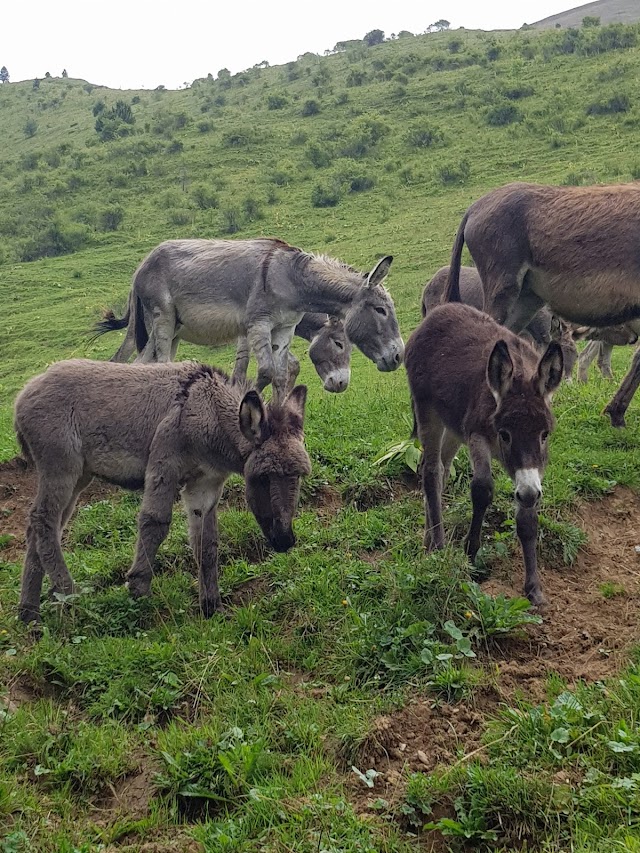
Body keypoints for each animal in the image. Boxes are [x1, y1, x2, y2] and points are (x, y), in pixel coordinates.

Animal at [15, 356, 312, 624]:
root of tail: (25, 392)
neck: (206, 409)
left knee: (40, 527)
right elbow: (155, 522)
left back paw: (30, 612)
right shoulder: (165, 465)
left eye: (299, 476)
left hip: (80, 477)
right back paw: (68, 592)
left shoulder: (204, 486)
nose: (285, 541)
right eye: (263, 477)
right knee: (43, 519)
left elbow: (207, 543)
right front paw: (138, 590)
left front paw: (211, 606)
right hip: (61, 467)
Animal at [408, 302, 564, 604]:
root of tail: (442, 309)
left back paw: (428, 541)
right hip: (428, 410)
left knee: (440, 471)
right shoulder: (477, 436)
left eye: (545, 435)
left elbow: (527, 518)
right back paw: (440, 546)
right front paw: (470, 555)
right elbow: (482, 489)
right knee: (431, 473)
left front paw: (534, 589)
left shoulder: (530, 470)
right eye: (504, 434)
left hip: (453, 426)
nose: (528, 493)